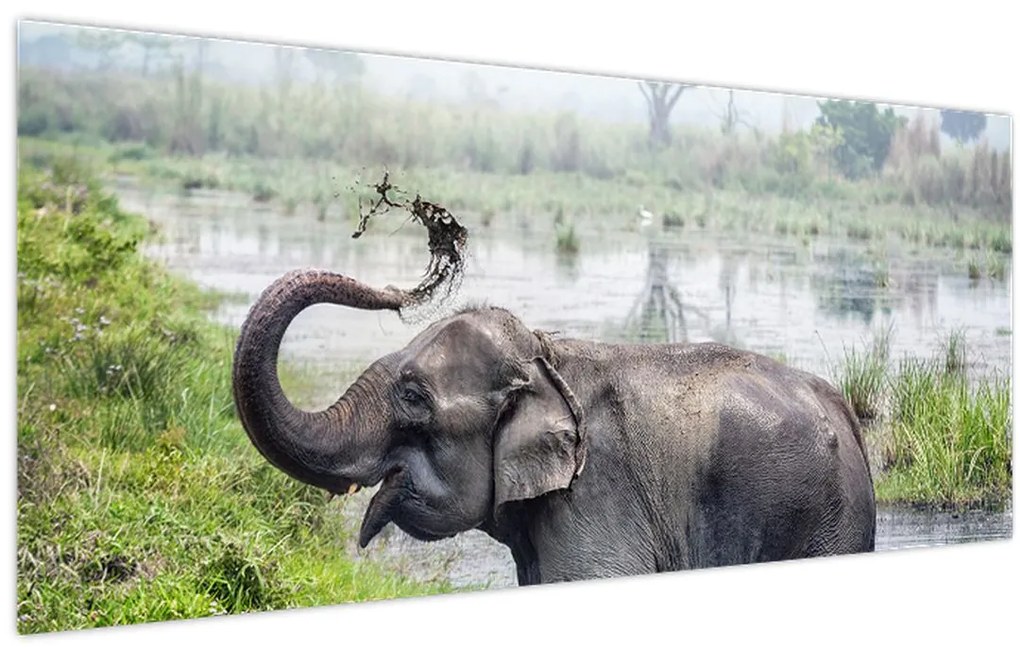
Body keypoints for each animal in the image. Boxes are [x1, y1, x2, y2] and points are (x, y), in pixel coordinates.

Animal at [232, 268, 877, 586]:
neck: (547, 356)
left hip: (825, 523)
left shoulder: (597, 499)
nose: (397, 291)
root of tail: (846, 414)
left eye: (413, 398)